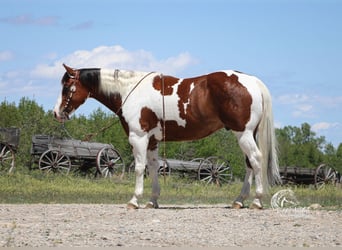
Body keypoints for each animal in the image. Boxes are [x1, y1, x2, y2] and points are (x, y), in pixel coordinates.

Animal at [54, 64, 280, 209]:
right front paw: (152, 201)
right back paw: (239, 201)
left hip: (243, 134)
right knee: (250, 164)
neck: (129, 91)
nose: (56, 113)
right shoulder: (153, 141)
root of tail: (252, 81)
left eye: (66, 87)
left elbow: (139, 168)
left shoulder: (138, 138)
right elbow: (153, 168)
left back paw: (257, 201)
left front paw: (134, 201)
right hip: (247, 135)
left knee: (256, 160)